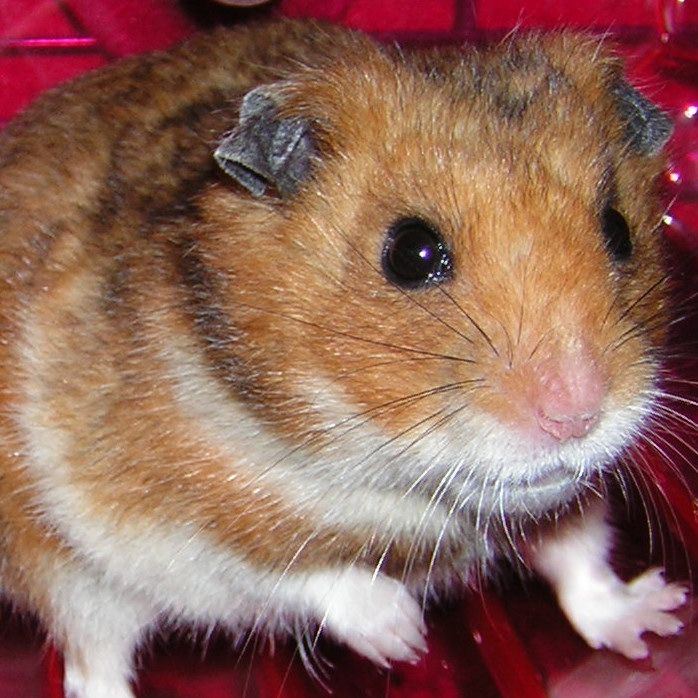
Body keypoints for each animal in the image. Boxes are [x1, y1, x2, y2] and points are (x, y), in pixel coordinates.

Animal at [0, 19, 688, 698]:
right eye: (410, 252)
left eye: (619, 229)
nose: (577, 417)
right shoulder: (154, 515)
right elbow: (297, 570)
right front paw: (405, 638)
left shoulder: (568, 503)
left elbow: (582, 556)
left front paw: (657, 617)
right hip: (68, 580)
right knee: (93, 666)